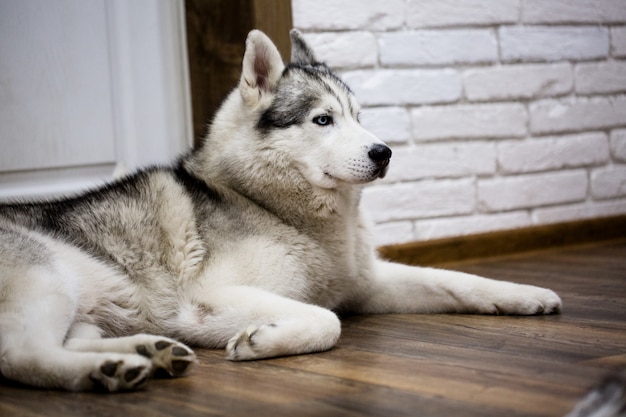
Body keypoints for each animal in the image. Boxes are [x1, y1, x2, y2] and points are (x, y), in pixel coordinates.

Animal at [0, 29, 560, 390]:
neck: (276, 208)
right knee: (19, 356)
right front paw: (262, 342)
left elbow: (458, 280)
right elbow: (325, 320)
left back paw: (145, 354)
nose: (384, 152)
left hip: (88, 310)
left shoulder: (366, 283)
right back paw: (104, 371)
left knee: (68, 341)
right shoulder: (208, 301)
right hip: (50, 280)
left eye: (359, 117)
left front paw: (526, 294)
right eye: (323, 119)